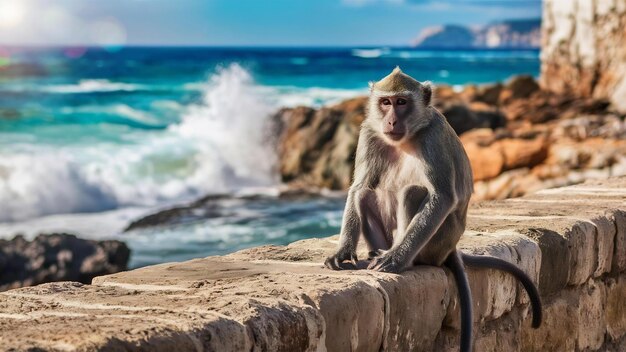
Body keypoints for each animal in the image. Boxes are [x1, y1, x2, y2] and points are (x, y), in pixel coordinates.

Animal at [324, 67, 540, 350]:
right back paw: (374, 252)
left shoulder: (433, 135)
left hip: (438, 242)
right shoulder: (369, 132)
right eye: (386, 102)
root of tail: (451, 247)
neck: (409, 136)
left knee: (413, 191)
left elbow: (443, 196)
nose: (391, 121)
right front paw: (343, 252)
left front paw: (396, 259)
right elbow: (359, 187)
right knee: (366, 194)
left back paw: (405, 259)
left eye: (401, 102)